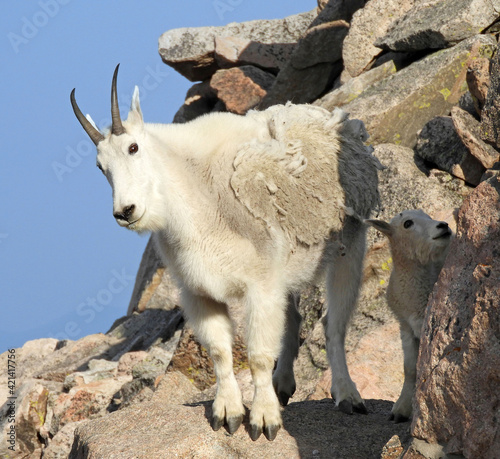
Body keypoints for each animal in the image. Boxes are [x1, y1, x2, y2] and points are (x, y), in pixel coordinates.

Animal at [70, 64, 380, 442]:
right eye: (100, 167)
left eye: (133, 147)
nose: (125, 212)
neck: (198, 200)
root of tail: (332, 118)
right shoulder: (199, 292)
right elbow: (220, 352)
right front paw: (228, 414)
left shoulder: (260, 285)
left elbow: (258, 354)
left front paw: (263, 420)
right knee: (294, 318)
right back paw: (283, 386)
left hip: (350, 244)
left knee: (334, 324)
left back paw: (347, 395)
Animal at [364, 210, 454, 422]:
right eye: (407, 223)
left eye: (427, 216)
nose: (443, 225)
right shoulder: (405, 327)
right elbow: (410, 368)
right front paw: (401, 409)